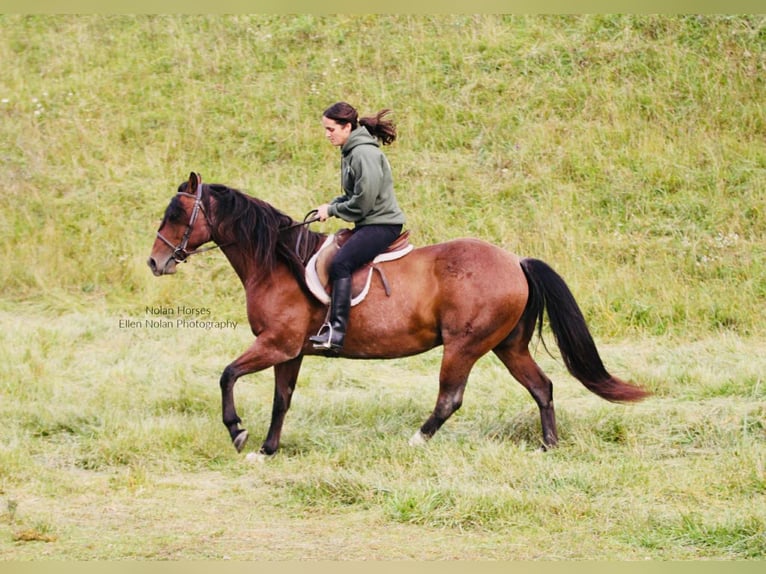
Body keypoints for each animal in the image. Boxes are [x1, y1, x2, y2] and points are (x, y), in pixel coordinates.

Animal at [147, 172, 648, 458]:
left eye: (177, 214)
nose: (155, 262)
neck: (276, 263)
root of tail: (515, 261)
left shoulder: (275, 344)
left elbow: (227, 375)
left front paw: (237, 432)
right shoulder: (290, 351)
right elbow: (281, 400)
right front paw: (268, 450)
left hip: (464, 346)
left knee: (450, 399)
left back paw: (416, 441)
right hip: (507, 346)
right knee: (542, 387)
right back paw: (549, 446)